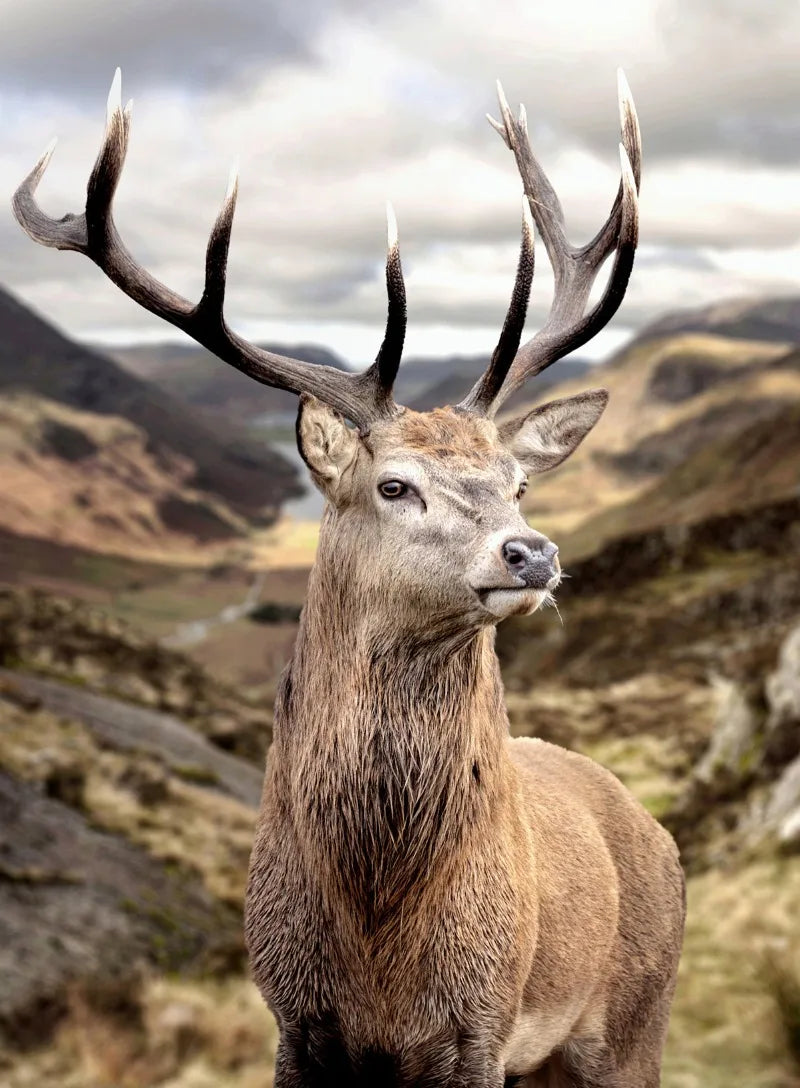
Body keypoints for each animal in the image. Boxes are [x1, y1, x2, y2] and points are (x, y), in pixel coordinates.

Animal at [13, 68, 685, 1087]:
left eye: (520, 482)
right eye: (393, 484)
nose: (532, 553)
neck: (376, 934)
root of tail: (654, 829)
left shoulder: (481, 1026)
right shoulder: (293, 1017)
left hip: (633, 1022)